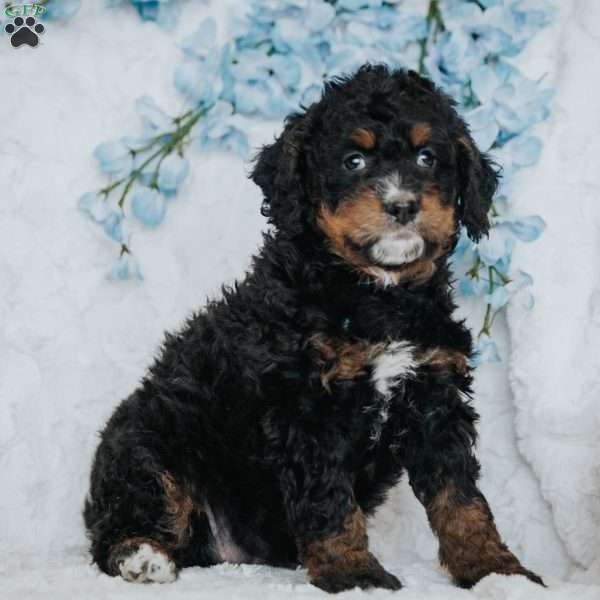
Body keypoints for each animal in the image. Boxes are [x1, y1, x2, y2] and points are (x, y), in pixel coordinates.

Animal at [84, 64, 544, 592]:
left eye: (428, 157)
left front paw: (495, 569)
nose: (403, 205)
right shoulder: (305, 404)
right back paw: (143, 557)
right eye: (353, 161)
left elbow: (461, 497)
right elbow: (329, 499)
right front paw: (354, 573)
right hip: (147, 444)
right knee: (127, 517)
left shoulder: (433, 393)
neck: (377, 295)